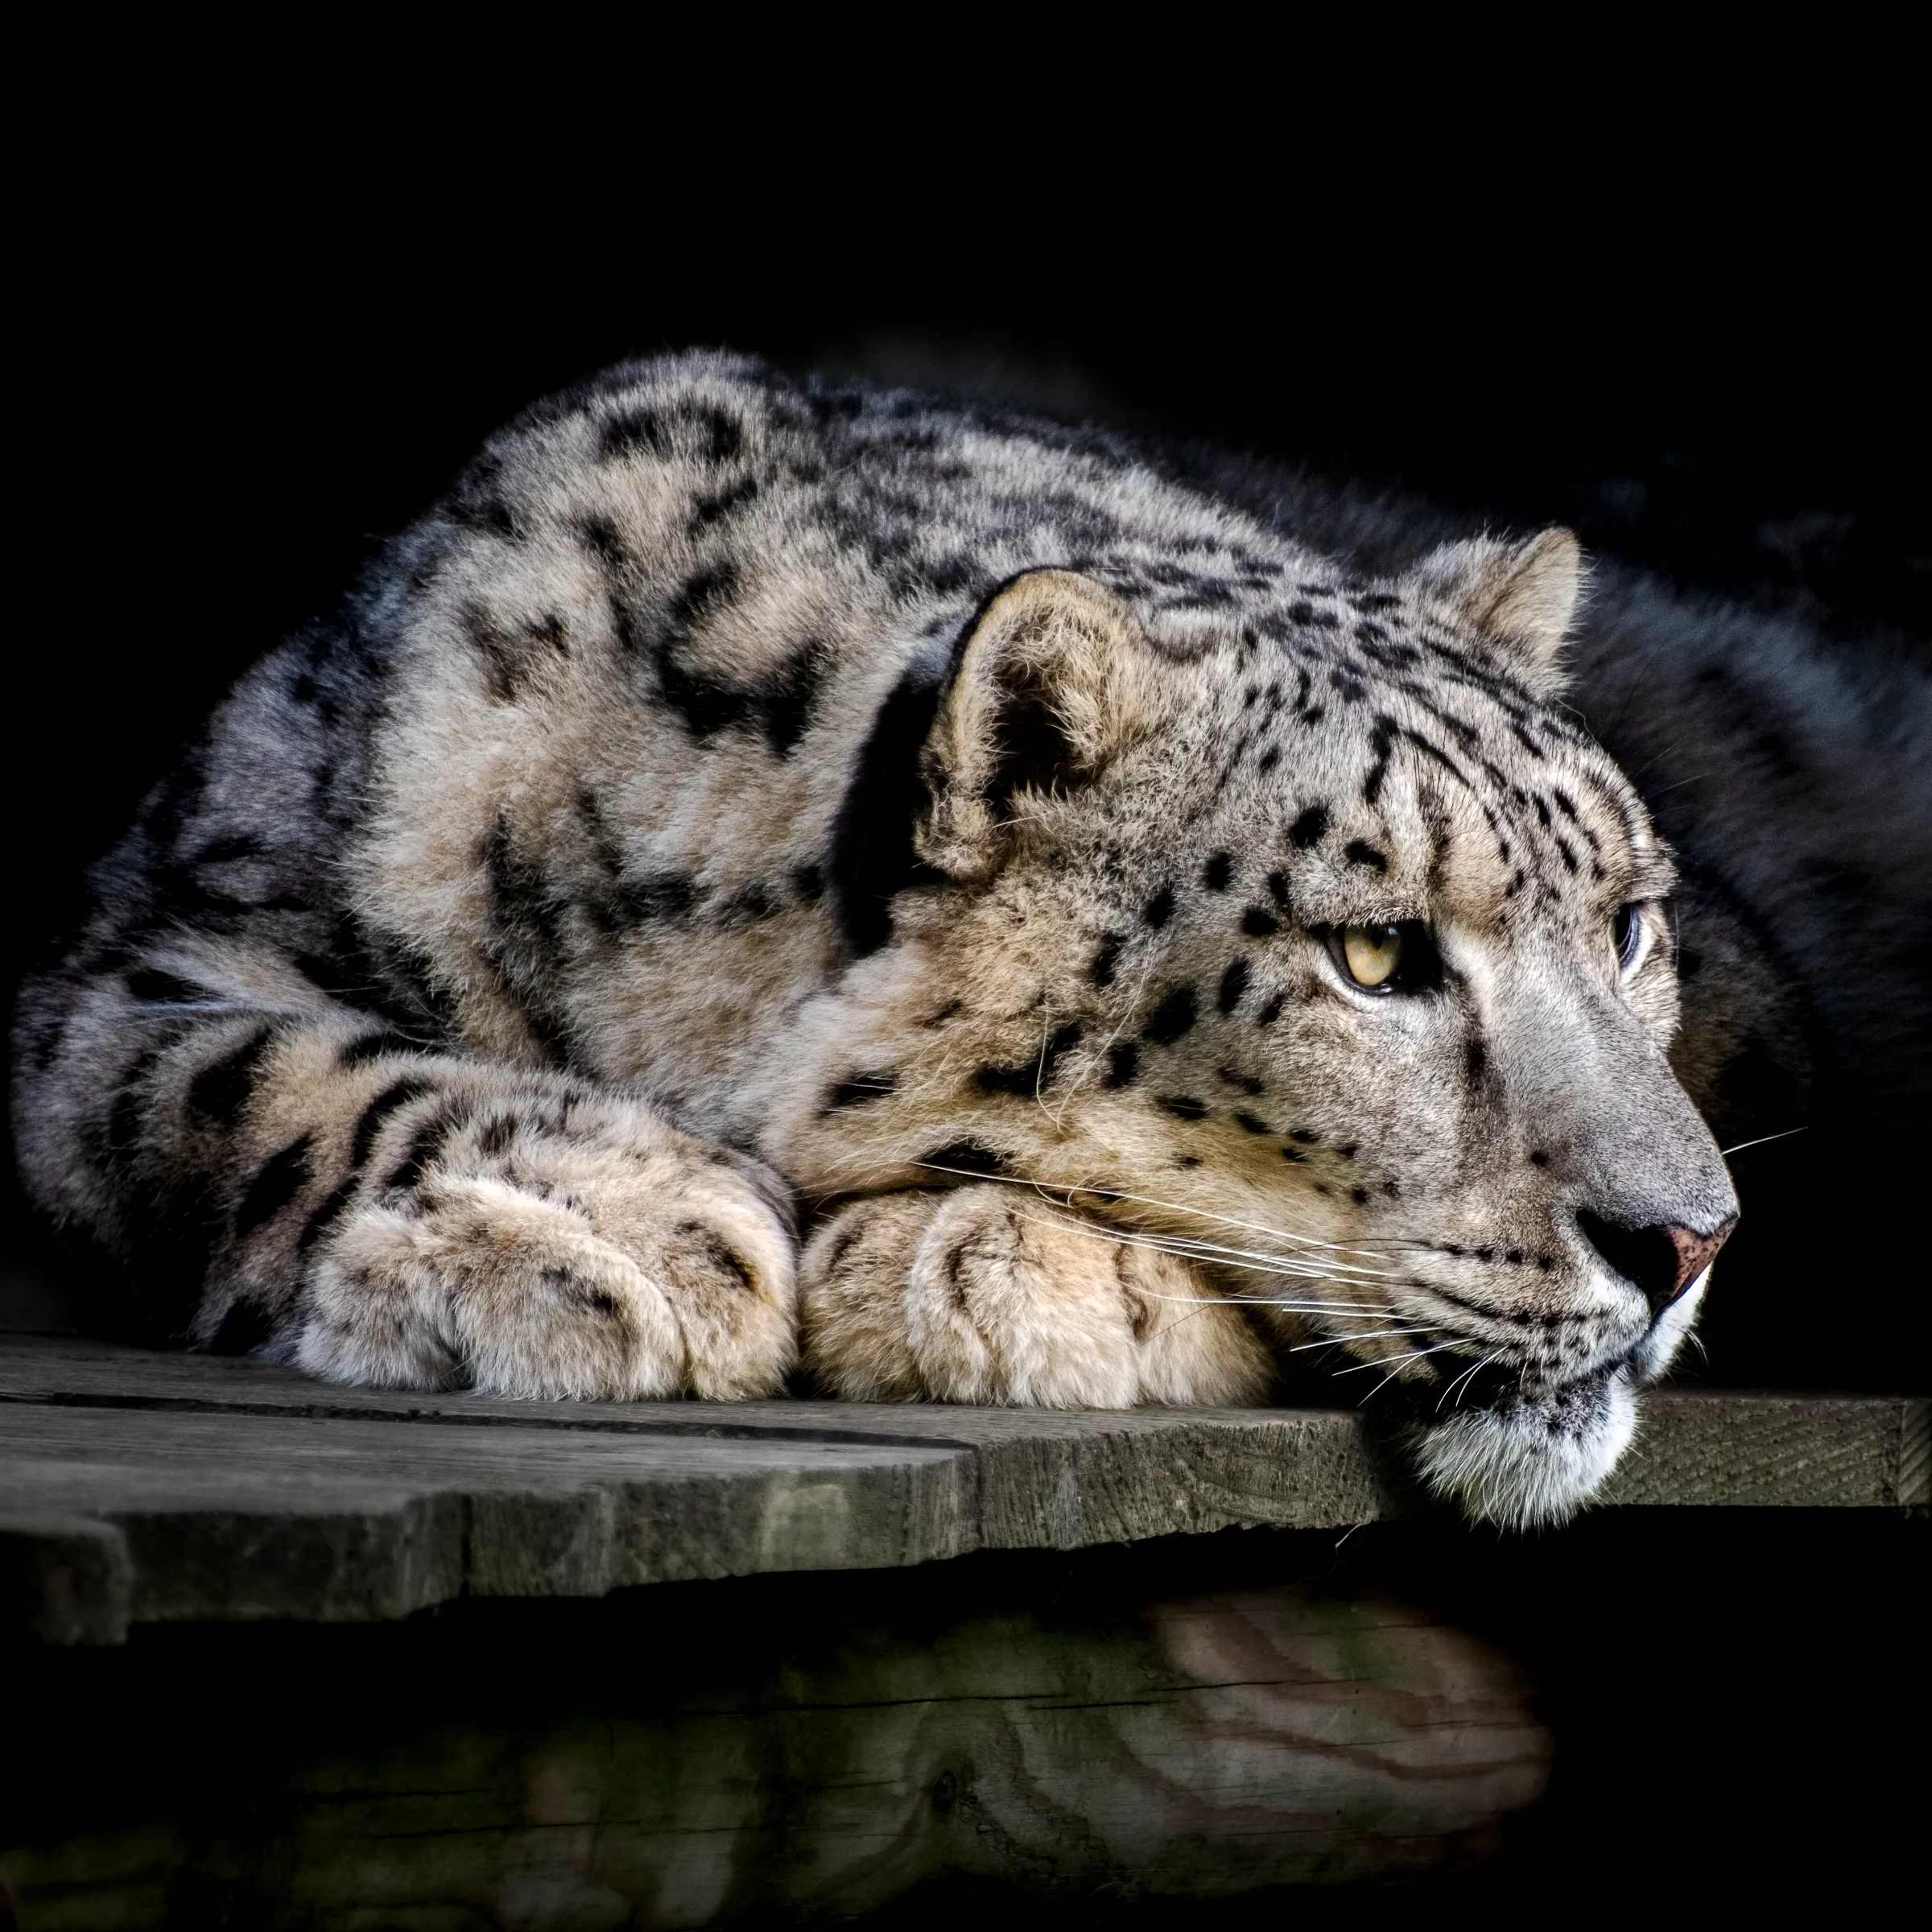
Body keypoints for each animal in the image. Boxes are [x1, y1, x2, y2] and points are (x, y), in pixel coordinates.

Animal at [15, 347, 1816, 1530]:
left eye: (1631, 925)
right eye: (1373, 957)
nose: (1690, 1239)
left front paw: (1008, 1265)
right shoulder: (151, 946)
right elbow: (260, 1075)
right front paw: (618, 1227)